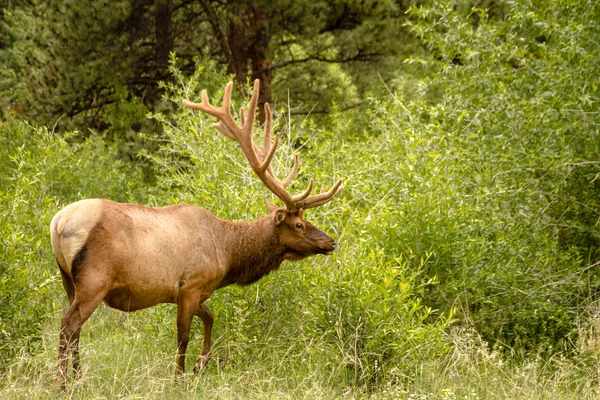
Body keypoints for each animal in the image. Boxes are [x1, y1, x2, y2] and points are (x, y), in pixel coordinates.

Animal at [50, 79, 342, 390]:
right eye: (299, 224)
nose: (331, 241)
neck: (227, 255)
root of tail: (58, 223)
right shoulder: (191, 285)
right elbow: (182, 335)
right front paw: (179, 378)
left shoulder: (190, 292)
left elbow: (211, 317)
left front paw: (201, 363)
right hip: (95, 279)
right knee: (68, 324)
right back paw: (62, 383)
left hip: (68, 280)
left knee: (76, 328)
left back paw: (79, 378)